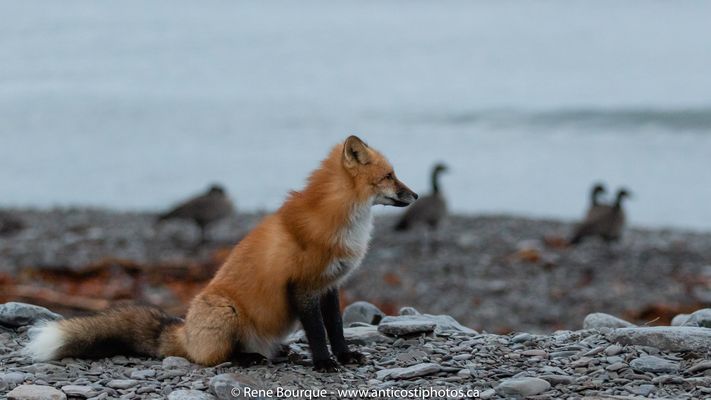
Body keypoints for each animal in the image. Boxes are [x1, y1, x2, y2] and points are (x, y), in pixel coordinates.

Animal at [24, 135, 418, 372]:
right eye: (389, 176)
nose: (415, 196)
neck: (340, 221)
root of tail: (184, 331)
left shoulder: (330, 285)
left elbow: (335, 329)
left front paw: (345, 356)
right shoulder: (304, 287)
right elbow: (318, 333)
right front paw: (324, 363)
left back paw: (277, 352)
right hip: (226, 312)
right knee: (212, 359)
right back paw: (249, 358)